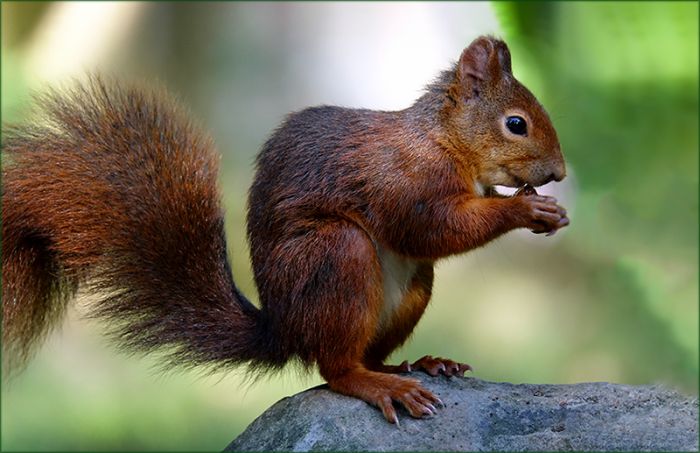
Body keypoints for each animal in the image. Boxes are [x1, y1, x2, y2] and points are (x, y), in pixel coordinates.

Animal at [2, 36, 568, 424]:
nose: (560, 173)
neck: (444, 141)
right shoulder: (403, 180)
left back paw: (419, 366)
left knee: (368, 354)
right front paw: (525, 211)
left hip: (410, 287)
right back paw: (380, 385)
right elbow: (431, 227)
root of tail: (283, 329)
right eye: (516, 123)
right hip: (336, 257)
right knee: (336, 369)